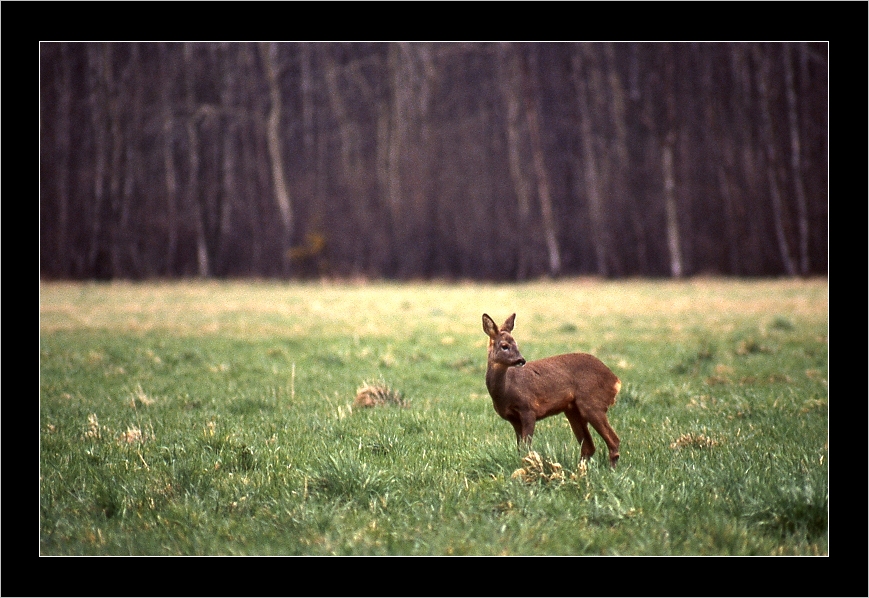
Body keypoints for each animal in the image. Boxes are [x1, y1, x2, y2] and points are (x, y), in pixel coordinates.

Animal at [482, 314, 624, 468]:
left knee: (613, 441)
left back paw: (610, 469)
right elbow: (520, 448)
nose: (521, 360)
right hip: (573, 410)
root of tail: (616, 381)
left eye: (516, 344)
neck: (507, 389)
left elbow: (526, 448)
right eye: (504, 346)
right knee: (589, 447)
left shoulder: (528, 409)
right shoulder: (513, 419)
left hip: (592, 403)